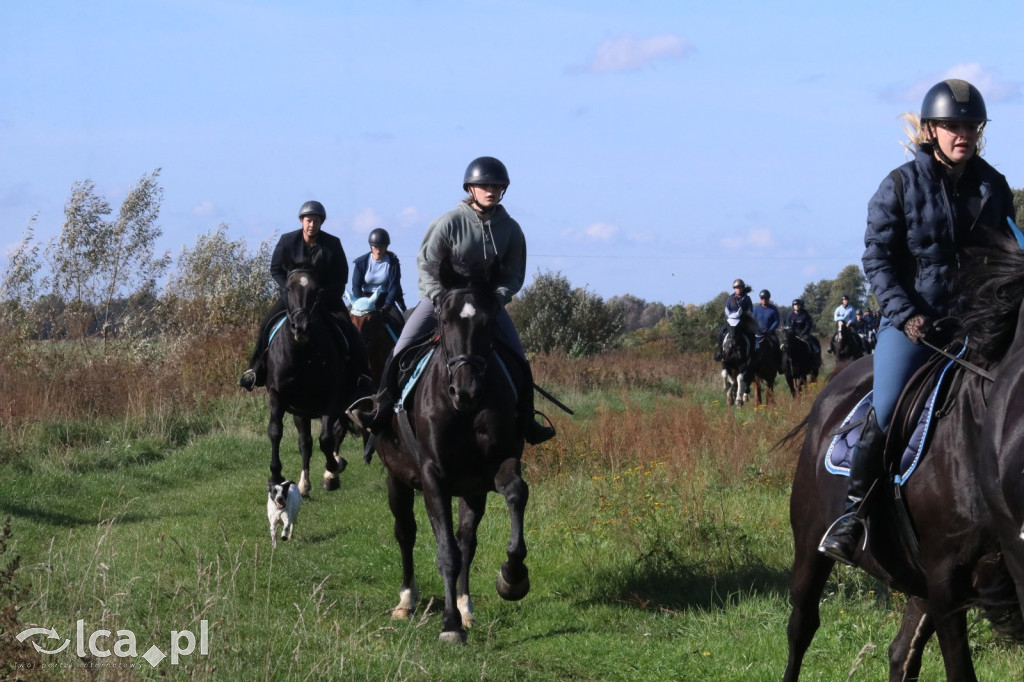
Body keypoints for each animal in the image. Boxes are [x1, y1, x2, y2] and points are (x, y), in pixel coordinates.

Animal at [372, 259, 532, 638]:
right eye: (444, 320)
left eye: (488, 321)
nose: (466, 391)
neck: (463, 412)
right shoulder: (434, 477)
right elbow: (445, 551)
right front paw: (449, 626)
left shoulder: (496, 467)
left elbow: (516, 493)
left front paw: (512, 578)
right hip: (397, 480)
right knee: (406, 533)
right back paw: (407, 601)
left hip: (471, 491)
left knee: (466, 542)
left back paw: (465, 606)